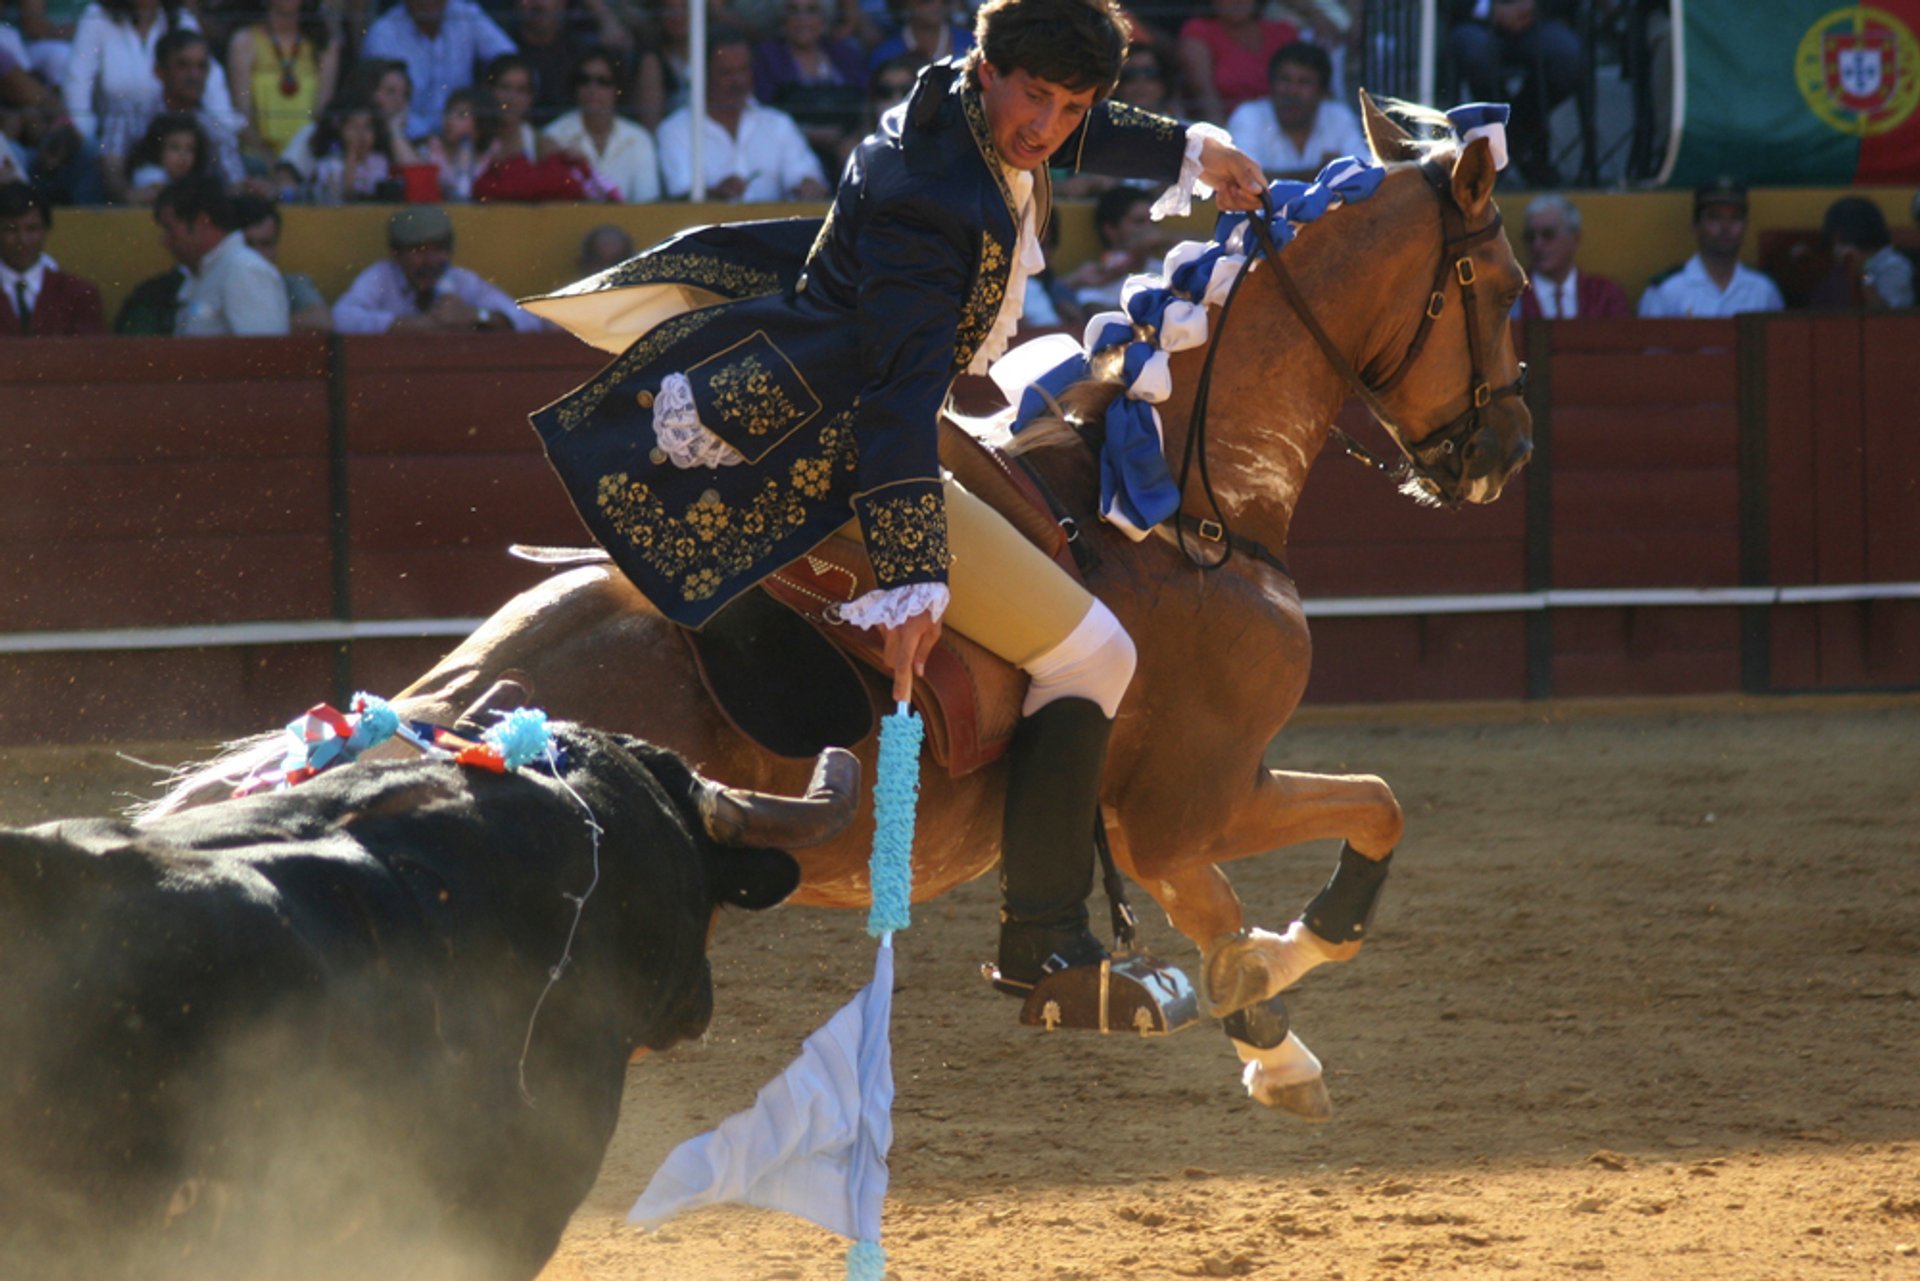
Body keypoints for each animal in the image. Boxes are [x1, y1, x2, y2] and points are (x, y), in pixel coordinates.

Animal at [153, 100, 1528, 1113]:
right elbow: (1361, 826)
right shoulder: (1187, 803)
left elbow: (1272, 888)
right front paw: (1270, 981)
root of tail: (448, 721)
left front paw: (1269, 1039)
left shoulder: (1172, 820)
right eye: (1509, 288)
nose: (1501, 455)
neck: (1183, 506)